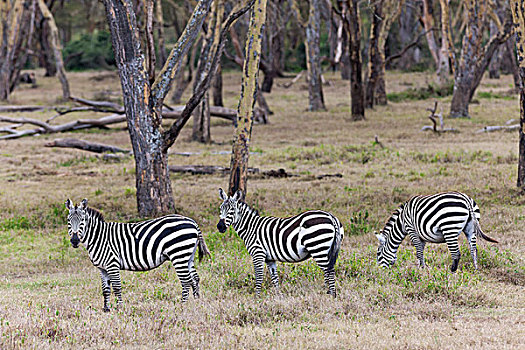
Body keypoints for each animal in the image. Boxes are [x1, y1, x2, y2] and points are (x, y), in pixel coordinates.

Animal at [63, 198, 207, 310]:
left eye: (82, 221)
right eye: (69, 221)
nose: (74, 241)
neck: (99, 237)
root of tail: (192, 222)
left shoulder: (112, 264)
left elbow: (116, 287)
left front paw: (119, 308)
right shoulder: (102, 268)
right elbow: (105, 289)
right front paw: (106, 309)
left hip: (178, 254)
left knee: (186, 281)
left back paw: (183, 305)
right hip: (188, 256)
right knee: (195, 278)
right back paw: (196, 302)